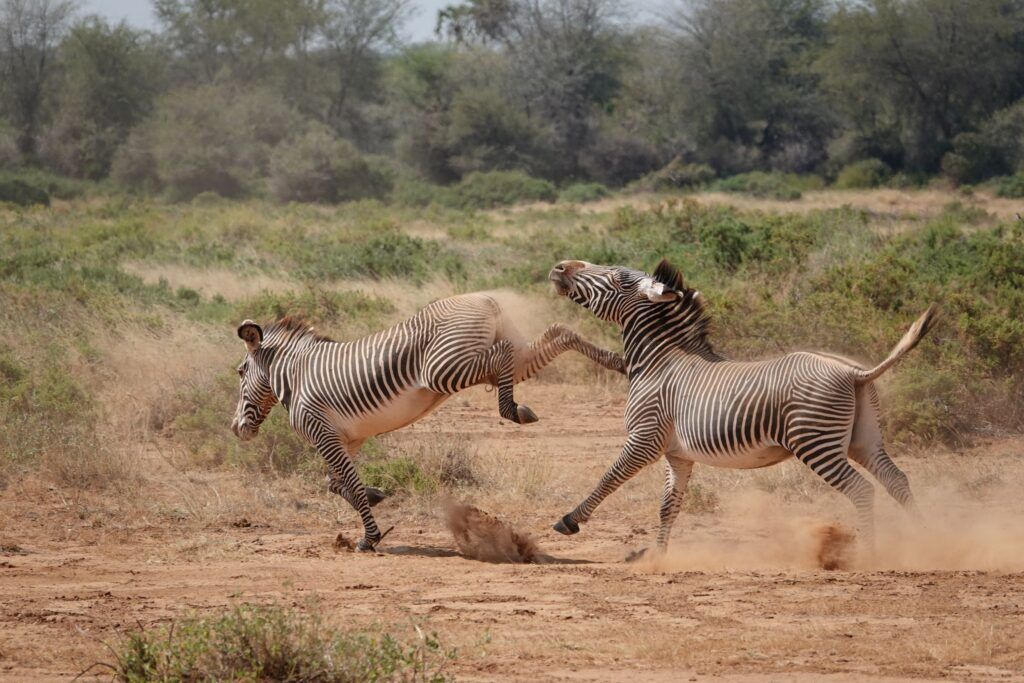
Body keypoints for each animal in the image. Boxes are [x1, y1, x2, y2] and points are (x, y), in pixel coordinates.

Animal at [230, 292, 625, 551]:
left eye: (240, 372)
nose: (237, 430)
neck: (296, 376)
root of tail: (484, 300)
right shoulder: (347, 439)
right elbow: (337, 484)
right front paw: (374, 496)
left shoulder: (323, 434)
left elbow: (347, 485)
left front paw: (369, 538)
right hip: (497, 357)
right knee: (559, 332)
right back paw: (616, 361)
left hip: (444, 369)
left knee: (502, 355)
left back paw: (511, 409)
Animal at [548, 258, 936, 558]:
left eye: (617, 277)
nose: (560, 266)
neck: (660, 362)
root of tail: (854, 372)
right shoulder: (677, 454)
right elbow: (668, 506)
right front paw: (657, 556)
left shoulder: (645, 439)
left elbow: (610, 477)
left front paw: (570, 520)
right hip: (863, 440)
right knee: (896, 480)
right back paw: (925, 537)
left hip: (816, 442)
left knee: (862, 490)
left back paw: (869, 554)